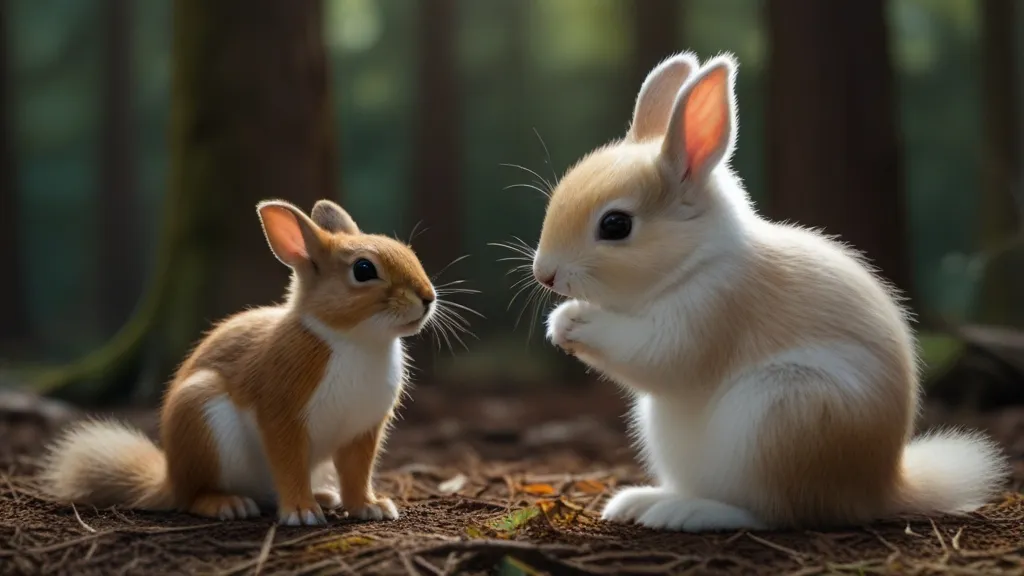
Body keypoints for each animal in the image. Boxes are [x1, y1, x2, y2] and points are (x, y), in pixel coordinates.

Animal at [532, 52, 1011, 528]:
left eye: (616, 225)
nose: (545, 274)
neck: (695, 261)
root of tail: (878, 491)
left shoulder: (710, 313)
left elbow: (650, 352)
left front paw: (571, 321)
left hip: (779, 418)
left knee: (773, 512)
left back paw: (688, 512)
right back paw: (643, 501)